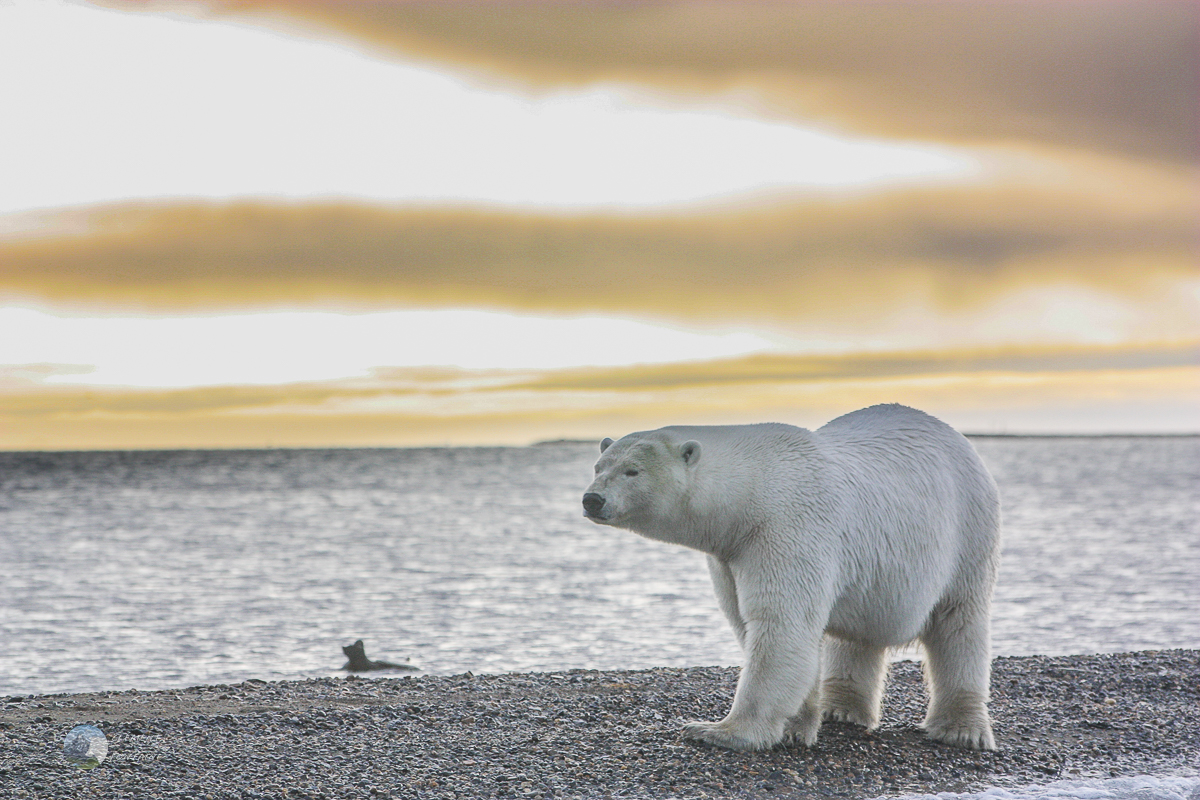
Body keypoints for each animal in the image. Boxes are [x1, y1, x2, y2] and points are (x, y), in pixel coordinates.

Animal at [585, 407, 998, 753]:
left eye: (632, 471)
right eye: (598, 466)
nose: (592, 499)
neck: (749, 492)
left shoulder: (785, 528)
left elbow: (781, 625)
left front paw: (719, 731)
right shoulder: (731, 554)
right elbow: (751, 622)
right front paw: (796, 726)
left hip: (967, 531)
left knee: (958, 624)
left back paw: (962, 728)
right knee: (859, 633)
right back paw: (841, 709)